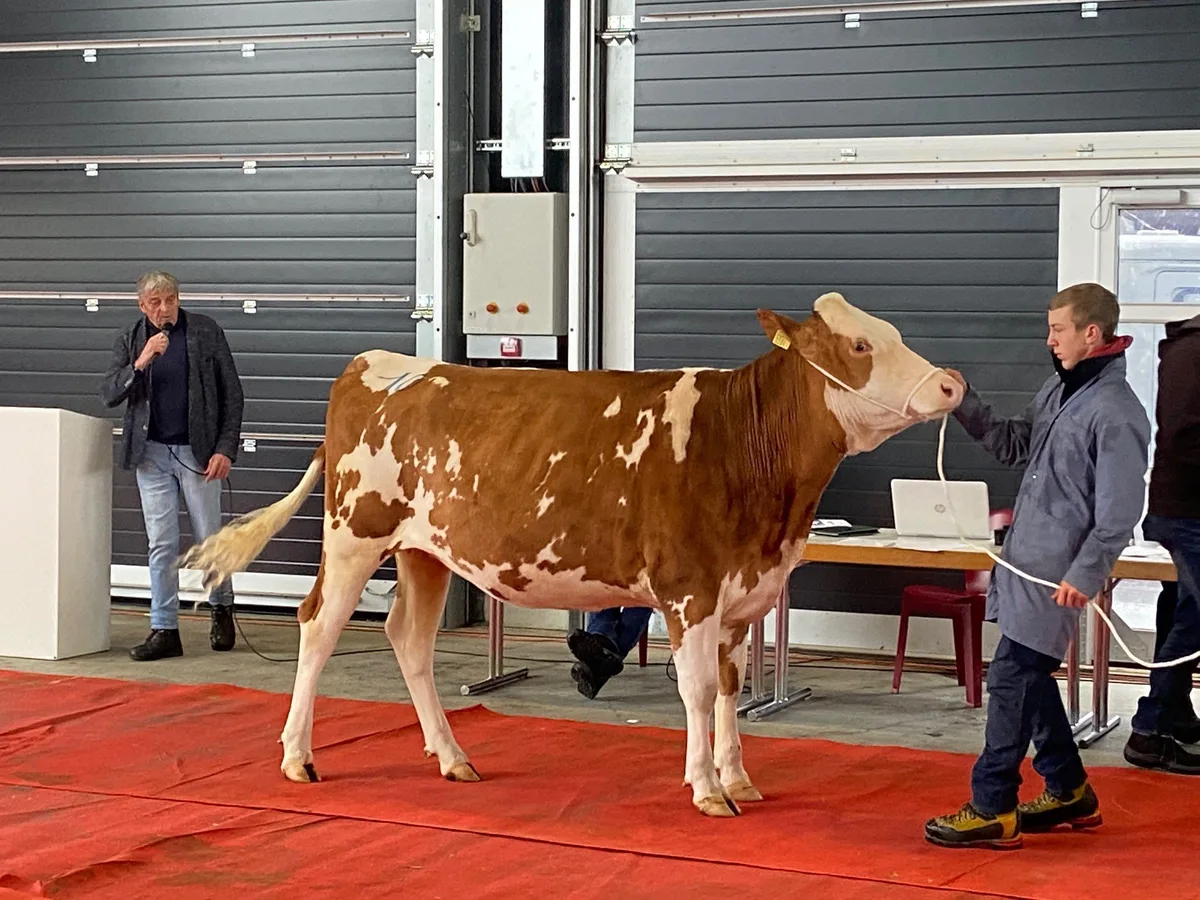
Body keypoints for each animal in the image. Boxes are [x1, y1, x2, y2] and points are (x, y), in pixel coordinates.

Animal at [182, 292, 963, 818]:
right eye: (860, 347)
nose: (951, 383)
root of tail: (381, 365)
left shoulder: (745, 595)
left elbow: (731, 687)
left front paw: (739, 776)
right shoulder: (690, 590)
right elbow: (697, 689)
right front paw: (708, 789)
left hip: (424, 552)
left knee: (408, 638)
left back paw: (453, 757)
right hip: (354, 532)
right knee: (318, 627)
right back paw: (298, 757)